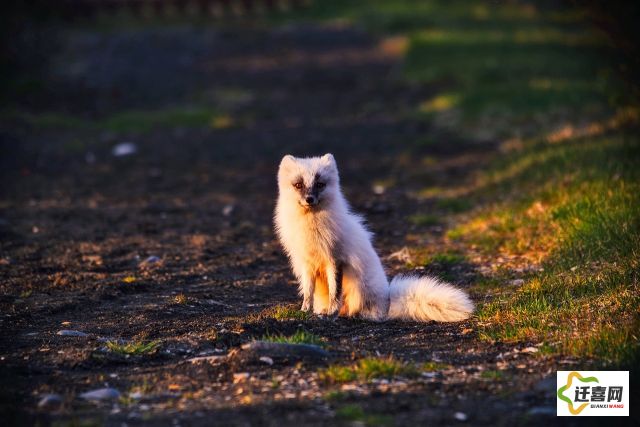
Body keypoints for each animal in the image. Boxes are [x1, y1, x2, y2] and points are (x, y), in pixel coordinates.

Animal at [272, 154, 472, 320]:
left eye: (320, 184)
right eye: (298, 185)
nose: (309, 199)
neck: (310, 228)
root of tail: (388, 301)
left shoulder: (335, 259)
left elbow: (334, 292)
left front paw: (330, 313)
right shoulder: (307, 264)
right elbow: (308, 292)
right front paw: (305, 311)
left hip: (360, 289)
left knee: (362, 310)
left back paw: (350, 314)